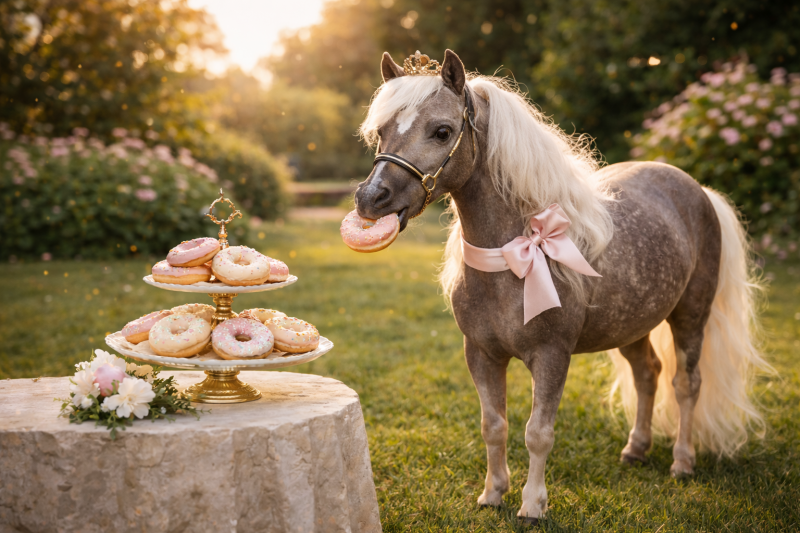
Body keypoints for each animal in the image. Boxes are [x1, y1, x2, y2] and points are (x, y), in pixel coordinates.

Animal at [354, 49, 770, 522]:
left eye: (442, 131)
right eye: (382, 131)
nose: (370, 198)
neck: (512, 256)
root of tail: (699, 190)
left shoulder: (551, 356)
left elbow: (538, 432)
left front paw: (532, 504)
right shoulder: (481, 355)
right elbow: (493, 426)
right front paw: (493, 493)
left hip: (690, 318)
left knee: (686, 384)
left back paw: (682, 461)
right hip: (632, 325)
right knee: (648, 374)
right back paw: (636, 450)